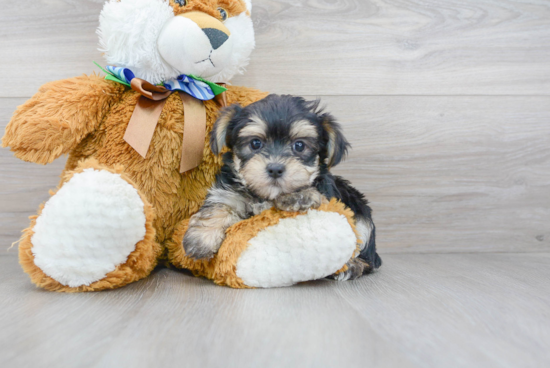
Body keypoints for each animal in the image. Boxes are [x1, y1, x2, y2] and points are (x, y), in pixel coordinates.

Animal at [185, 93, 384, 280]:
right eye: (255, 143)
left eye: (299, 145)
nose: (275, 168)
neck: (265, 196)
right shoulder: (228, 193)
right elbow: (218, 206)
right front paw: (201, 239)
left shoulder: (329, 196)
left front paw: (298, 195)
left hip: (362, 215)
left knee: (365, 252)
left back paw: (351, 266)